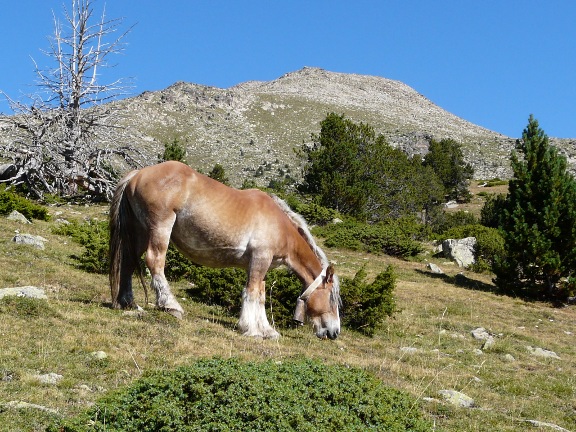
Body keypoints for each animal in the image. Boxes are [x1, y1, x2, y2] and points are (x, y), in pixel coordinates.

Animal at [109, 160, 342, 340]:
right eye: (332, 299)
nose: (334, 332)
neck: (280, 225)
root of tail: (138, 174)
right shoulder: (260, 259)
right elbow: (252, 293)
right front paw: (251, 329)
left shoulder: (261, 265)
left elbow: (260, 295)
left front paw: (267, 331)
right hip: (159, 229)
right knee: (154, 261)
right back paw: (171, 305)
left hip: (139, 232)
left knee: (128, 262)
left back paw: (128, 303)